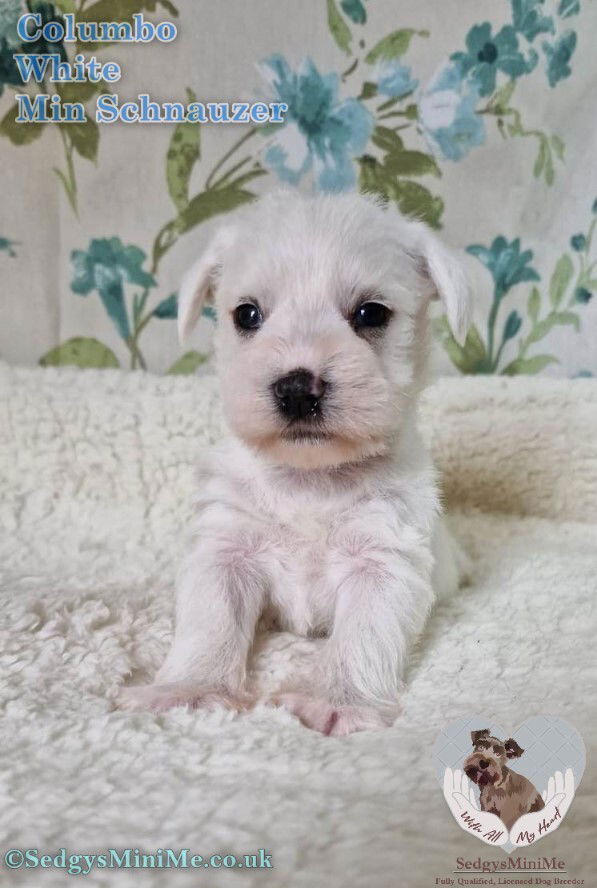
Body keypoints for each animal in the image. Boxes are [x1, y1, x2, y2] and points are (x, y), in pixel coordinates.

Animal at [117, 193, 470, 736]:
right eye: (247, 313)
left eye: (371, 312)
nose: (298, 389)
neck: (310, 481)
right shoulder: (227, 551)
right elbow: (210, 622)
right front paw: (190, 690)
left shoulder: (383, 561)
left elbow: (362, 638)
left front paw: (337, 702)